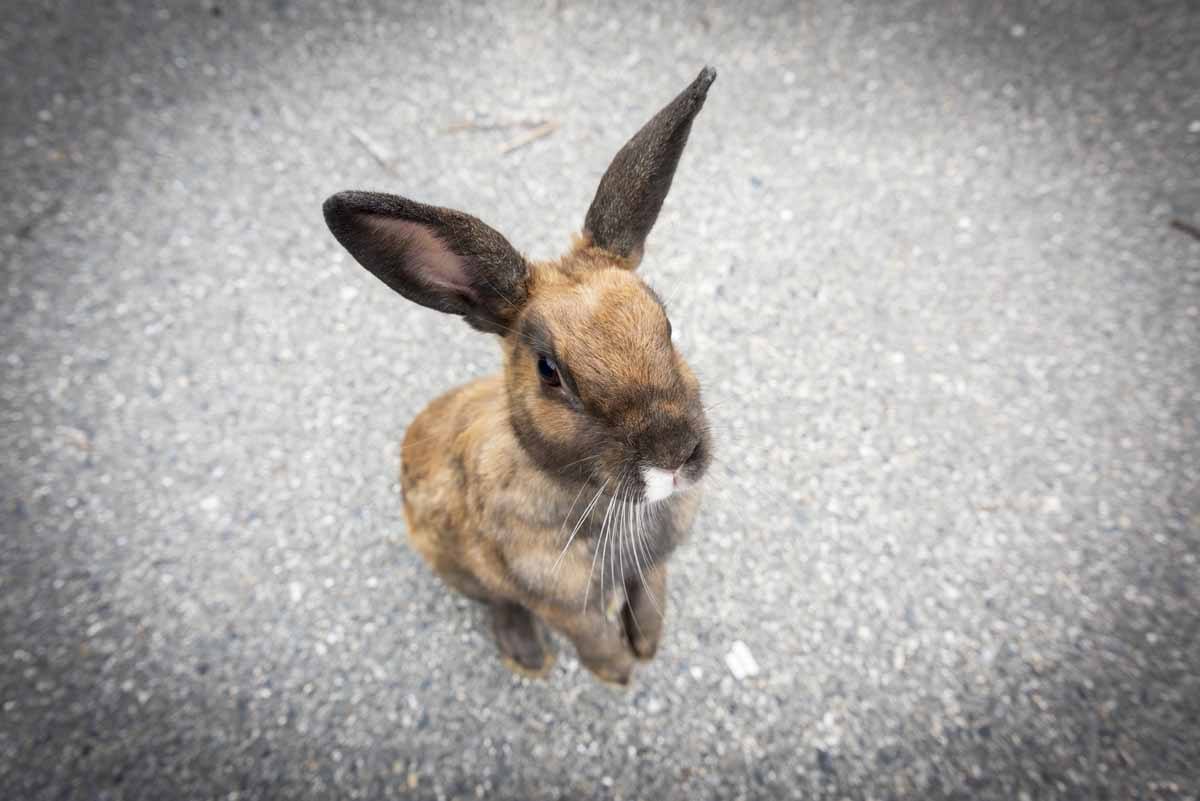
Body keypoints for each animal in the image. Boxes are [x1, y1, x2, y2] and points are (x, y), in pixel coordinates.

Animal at [323, 67, 716, 686]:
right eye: (549, 371)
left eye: (667, 324)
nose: (674, 453)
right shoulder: (558, 599)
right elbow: (589, 633)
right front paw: (617, 672)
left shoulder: (654, 566)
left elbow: (649, 592)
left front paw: (647, 645)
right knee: (495, 600)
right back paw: (527, 656)